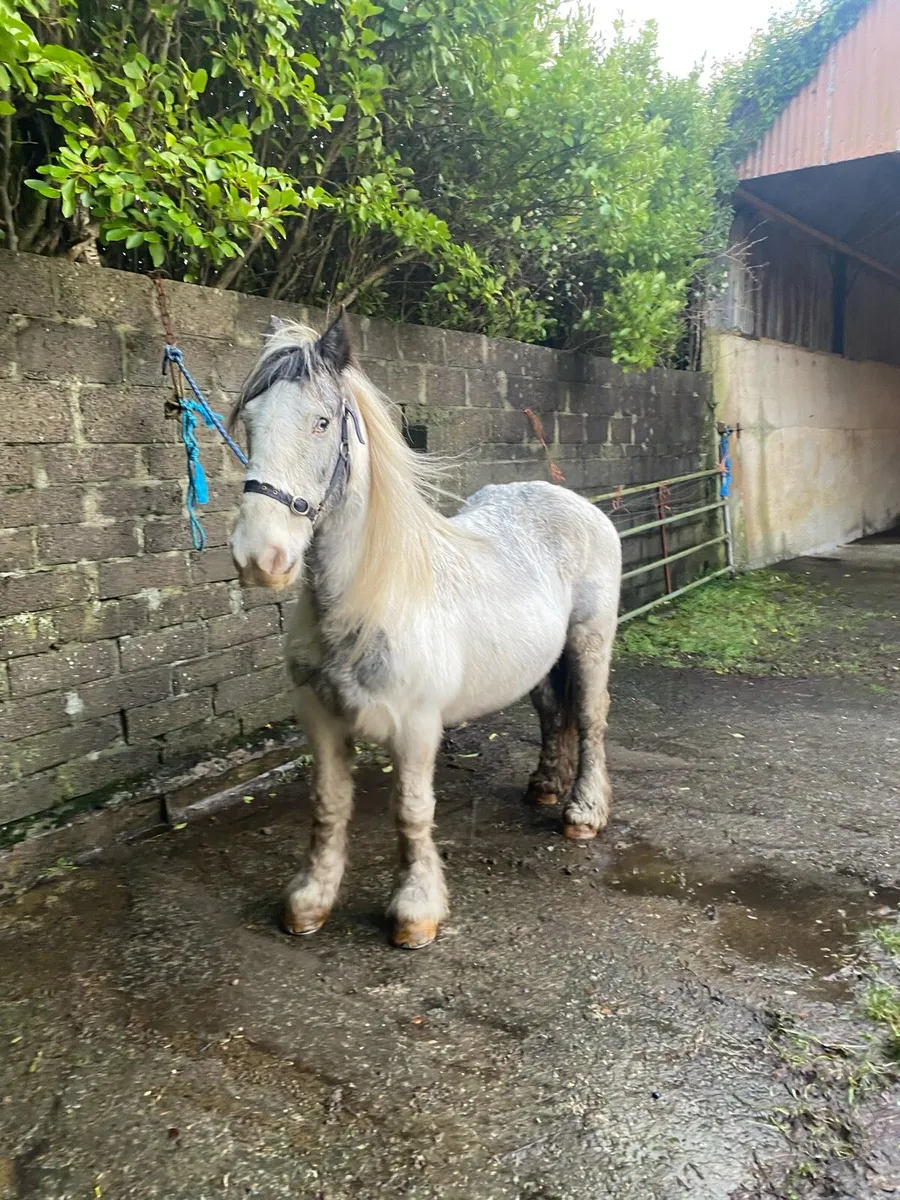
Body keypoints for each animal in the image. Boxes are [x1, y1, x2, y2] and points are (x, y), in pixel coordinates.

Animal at [229, 312, 622, 949]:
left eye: (321, 422)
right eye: (252, 420)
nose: (260, 558)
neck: (369, 597)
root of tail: (574, 501)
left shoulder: (415, 729)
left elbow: (411, 812)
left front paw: (415, 913)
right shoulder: (320, 719)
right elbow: (328, 805)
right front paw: (310, 902)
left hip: (589, 642)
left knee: (588, 718)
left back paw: (582, 812)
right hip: (538, 659)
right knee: (550, 711)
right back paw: (544, 784)